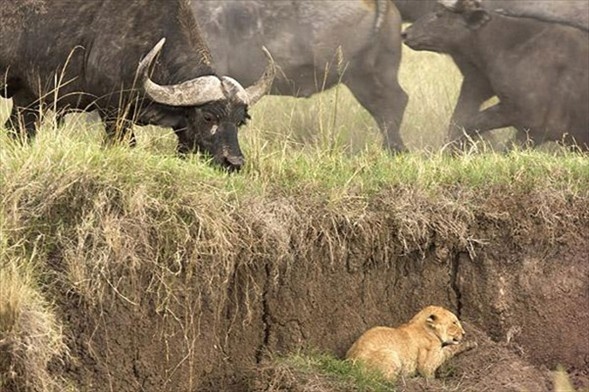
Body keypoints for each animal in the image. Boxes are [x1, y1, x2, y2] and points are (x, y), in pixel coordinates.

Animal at [400, 0, 588, 150]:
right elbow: (462, 122)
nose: (405, 33)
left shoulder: (532, 127)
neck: (512, 47)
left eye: (439, 14)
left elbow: (471, 124)